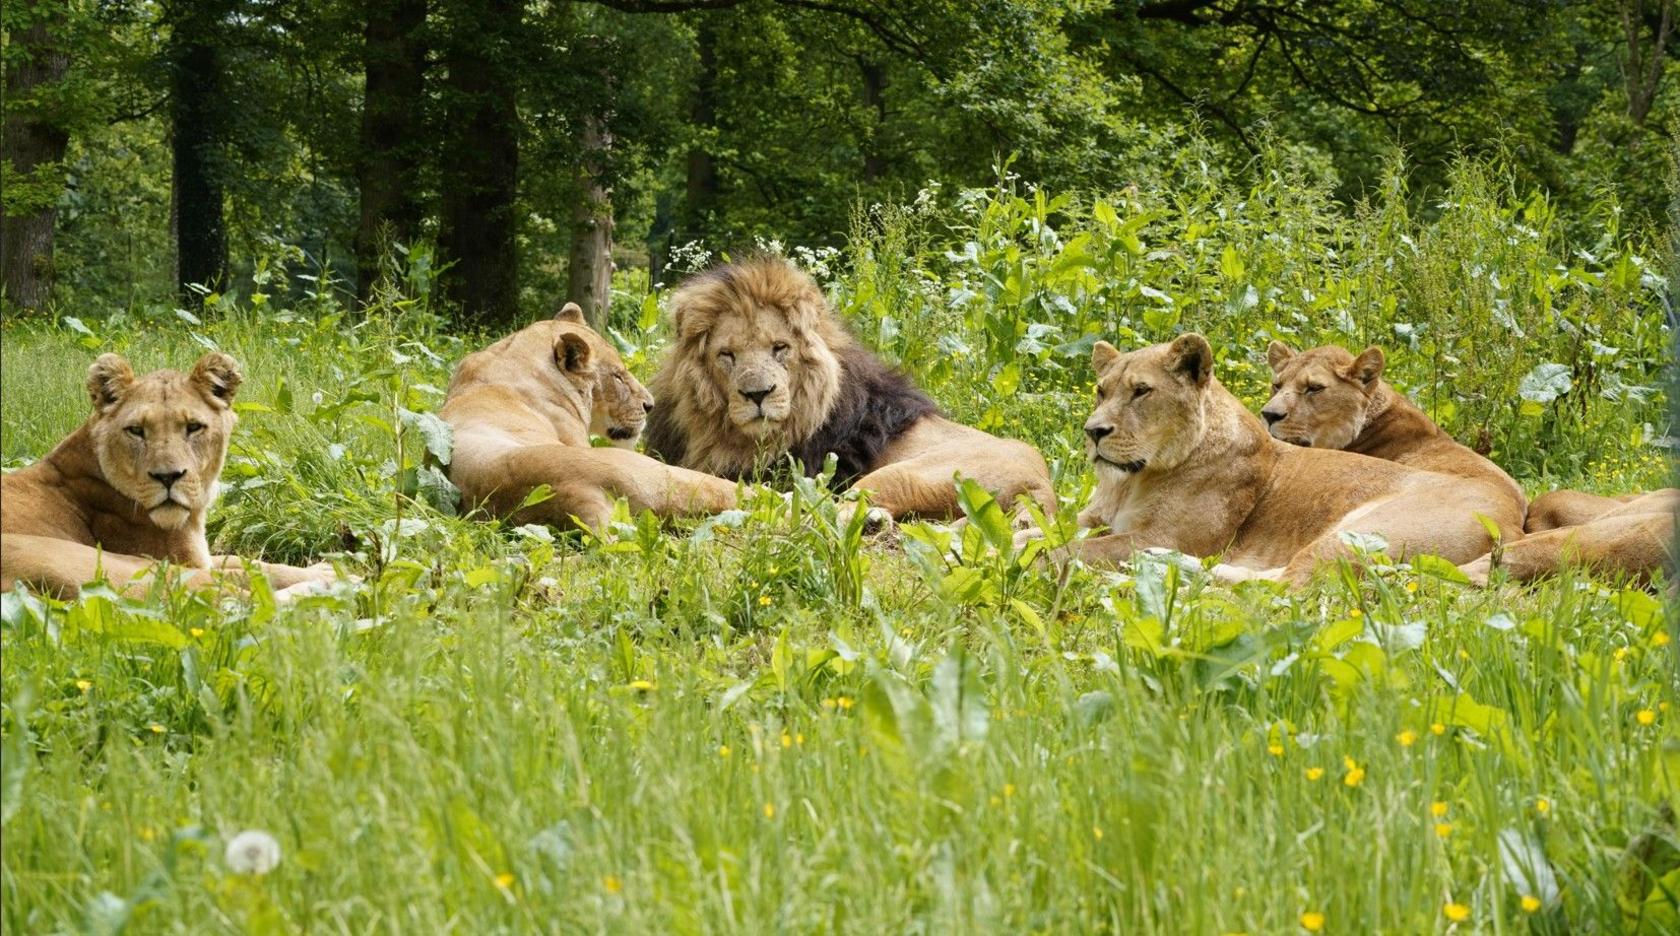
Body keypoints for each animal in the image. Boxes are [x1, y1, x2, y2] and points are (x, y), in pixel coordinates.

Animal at [1, 352, 340, 600]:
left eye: (193, 427)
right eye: (136, 430)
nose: (168, 477)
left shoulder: (201, 557)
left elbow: (248, 560)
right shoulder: (180, 562)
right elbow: (247, 570)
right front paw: (330, 571)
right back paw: (332, 586)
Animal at [641, 257, 1055, 522]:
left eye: (780, 348)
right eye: (726, 354)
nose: (758, 394)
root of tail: (1042, 487)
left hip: (909, 475)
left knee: (823, 508)